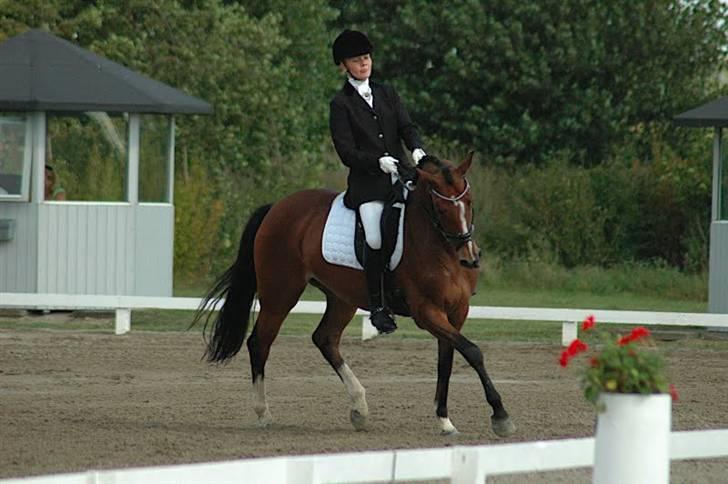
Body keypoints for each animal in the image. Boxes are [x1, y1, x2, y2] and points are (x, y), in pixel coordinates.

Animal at [192, 153, 515, 437]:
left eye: (469, 203)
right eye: (440, 207)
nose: (470, 259)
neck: (441, 249)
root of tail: (277, 207)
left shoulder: (456, 313)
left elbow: (447, 360)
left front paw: (445, 421)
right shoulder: (427, 312)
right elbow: (472, 351)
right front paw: (500, 416)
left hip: (341, 298)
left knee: (325, 338)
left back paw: (360, 408)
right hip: (280, 294)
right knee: (260, 343)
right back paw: (263, 413)